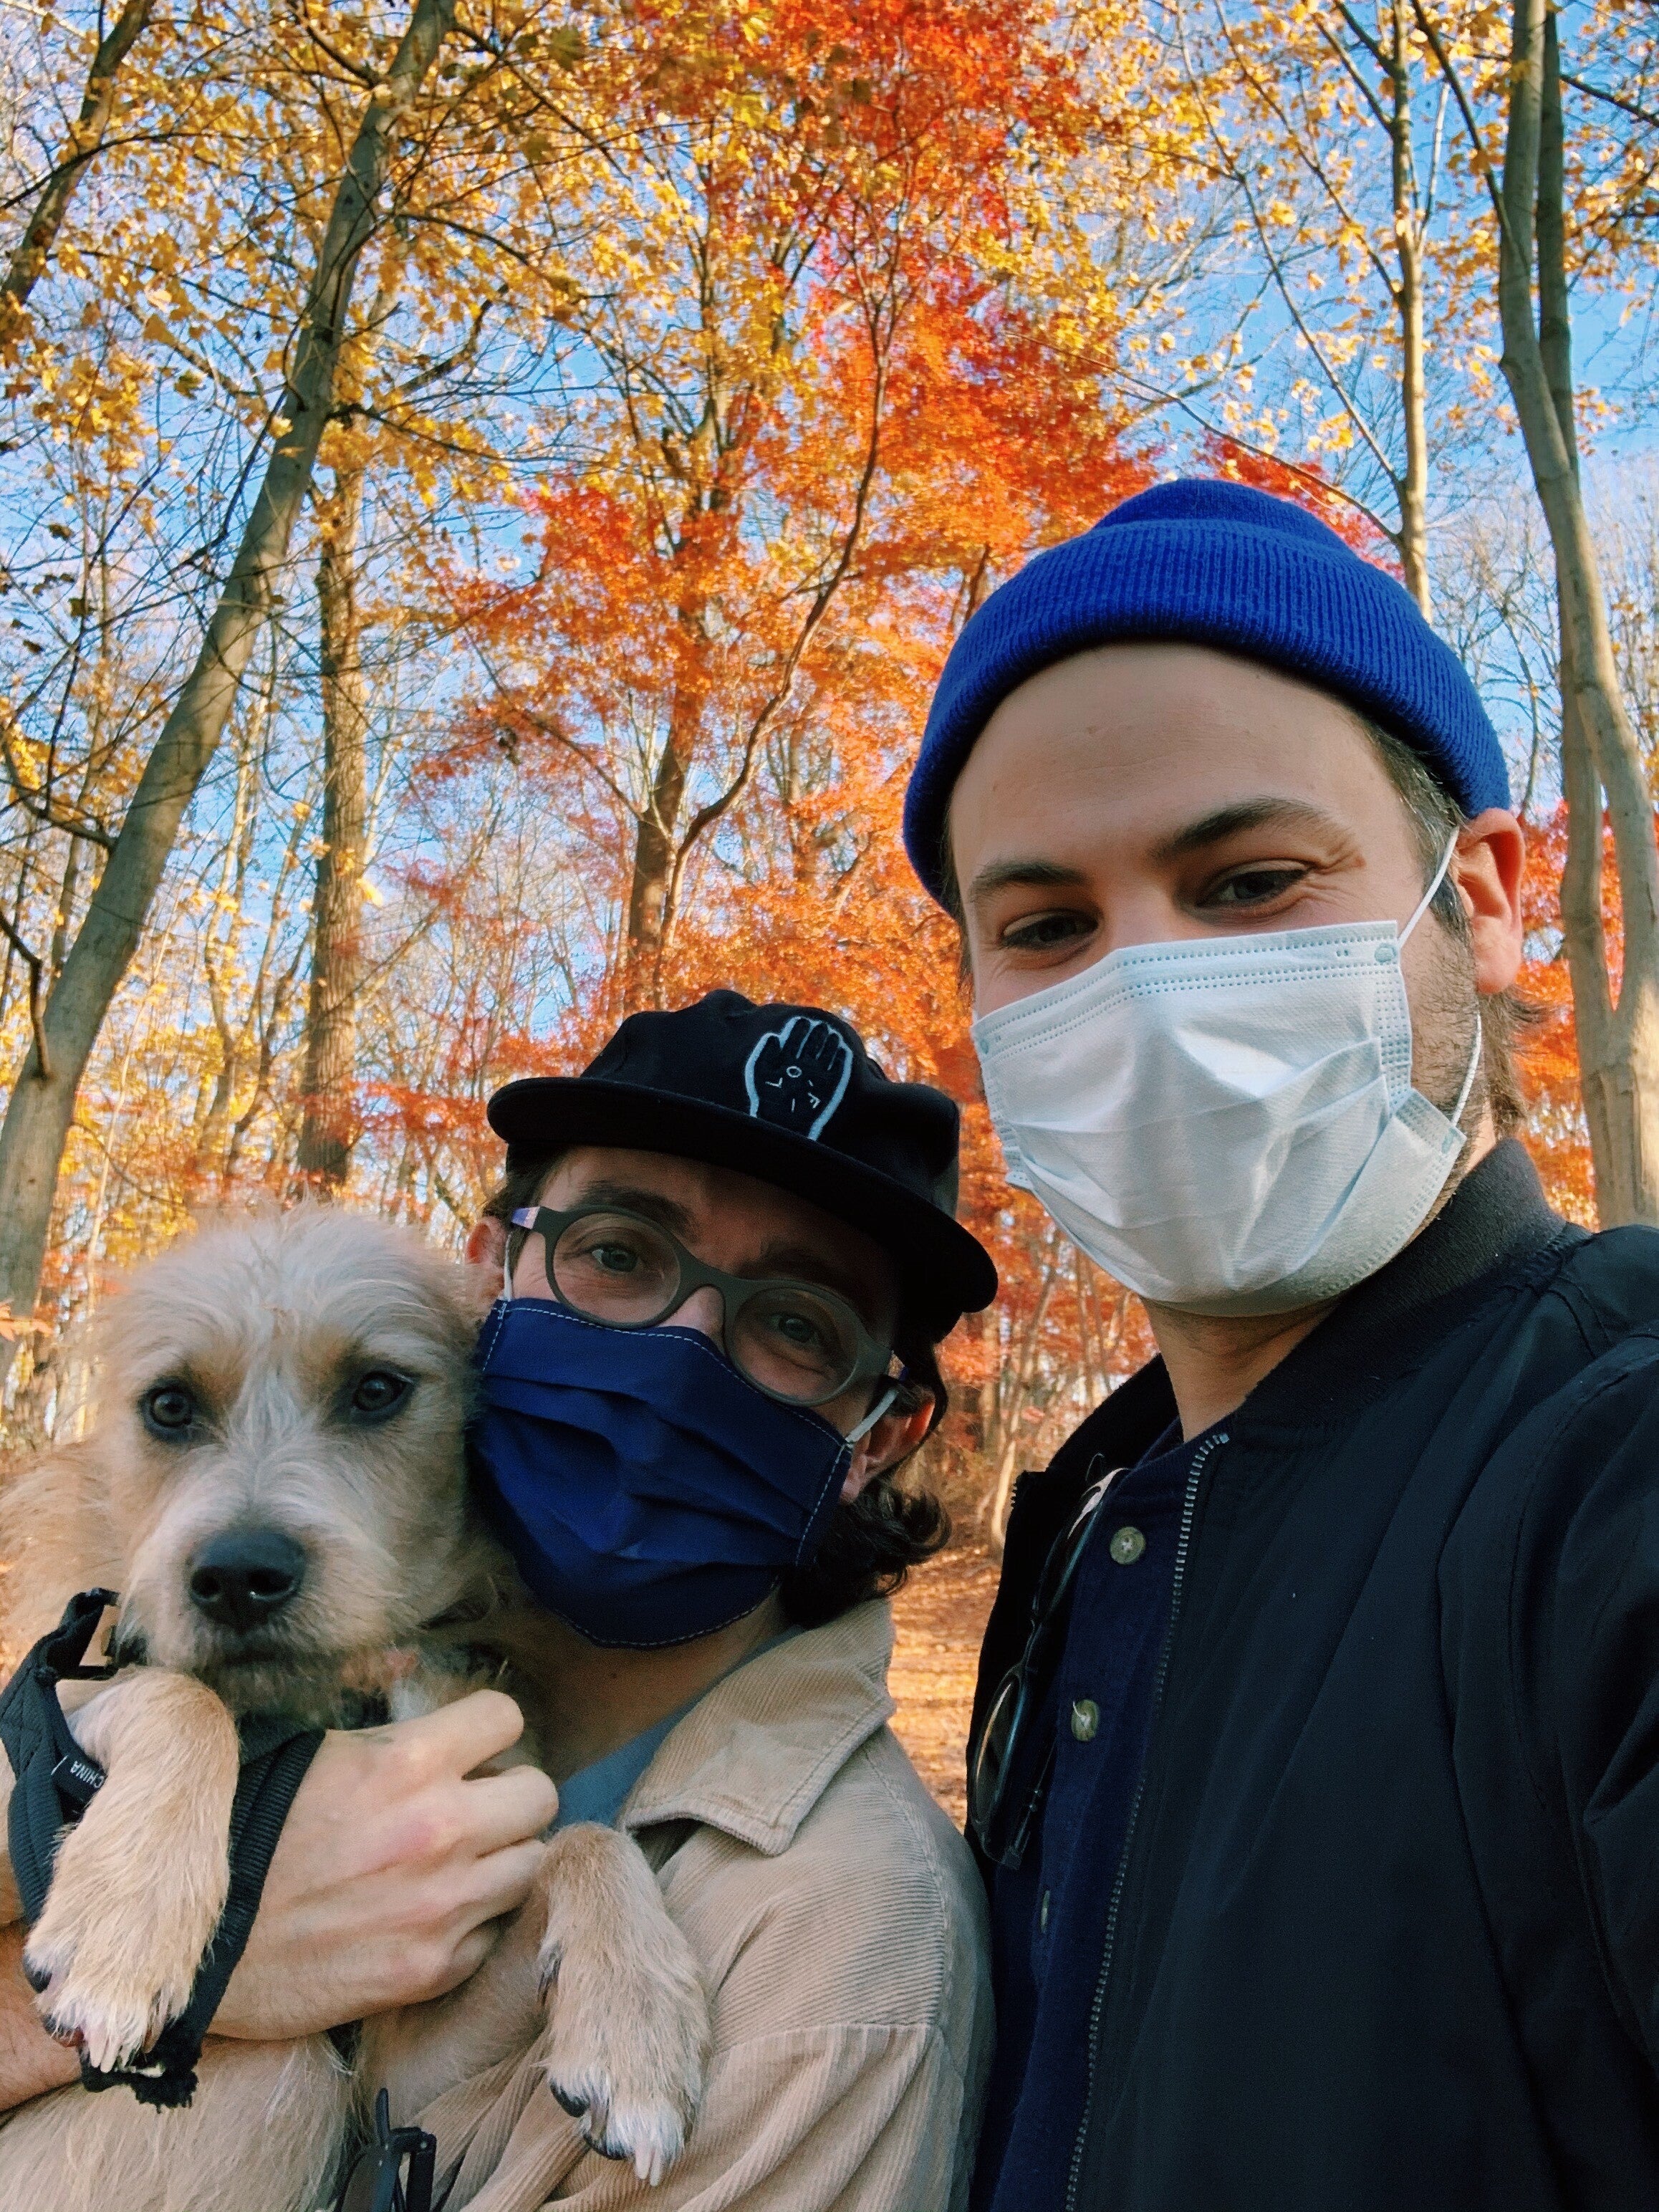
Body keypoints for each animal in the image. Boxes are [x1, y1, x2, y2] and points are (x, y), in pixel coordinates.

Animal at [0, 1212, 708, 2212]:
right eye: (169, 1406)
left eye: (377, 1389)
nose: (238, 1576)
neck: (332, 1695)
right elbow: (178, 1690)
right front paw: (125, 1920)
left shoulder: (405, 2063)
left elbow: (585, 1837)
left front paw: (636, 2021)